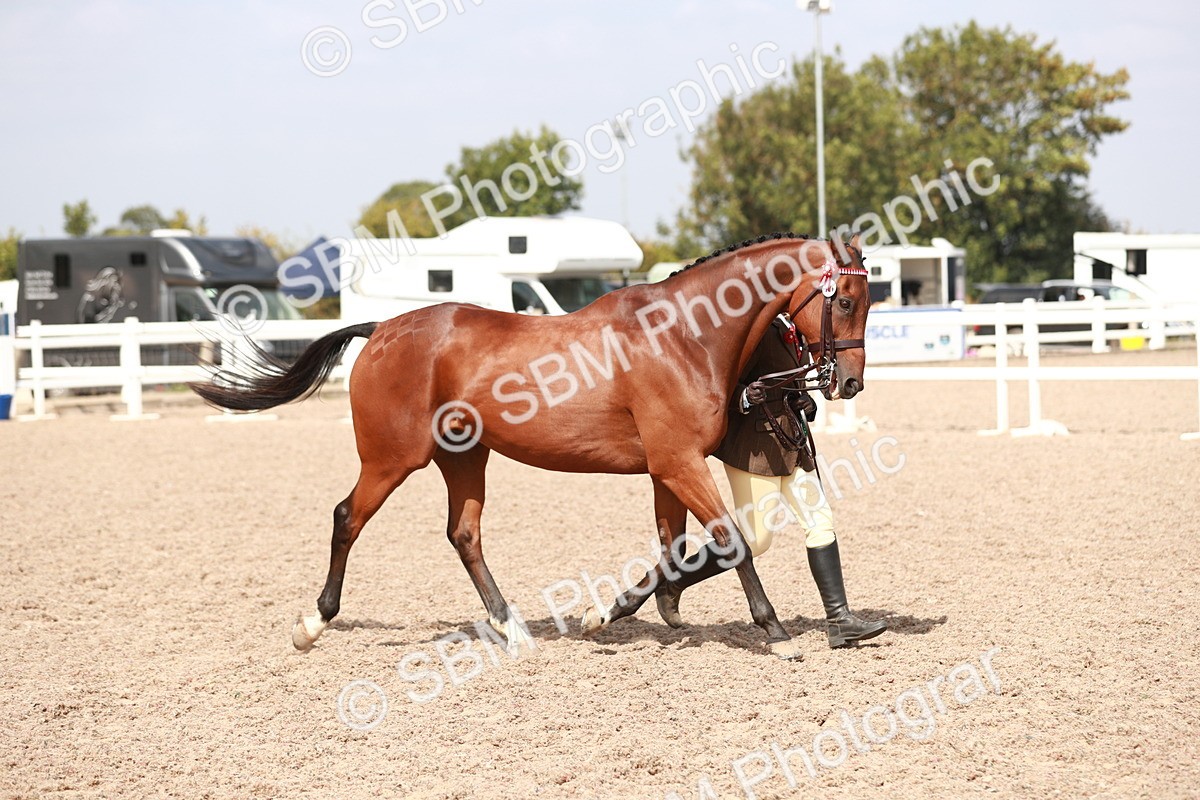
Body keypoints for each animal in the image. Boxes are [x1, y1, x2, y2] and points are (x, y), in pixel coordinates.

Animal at [190, 233, 871, 660]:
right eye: (844, 299)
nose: (849, 383)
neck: (683, 334)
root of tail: (382, 328)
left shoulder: (666, 468)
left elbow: (676, 549)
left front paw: (617, 613)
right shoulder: (677, 463)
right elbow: (730, 542)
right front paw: (776, 632)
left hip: (464, 457)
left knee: (463, 535)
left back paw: (512, 629)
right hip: (392, 459)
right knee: (346, 518)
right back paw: (313, 623)